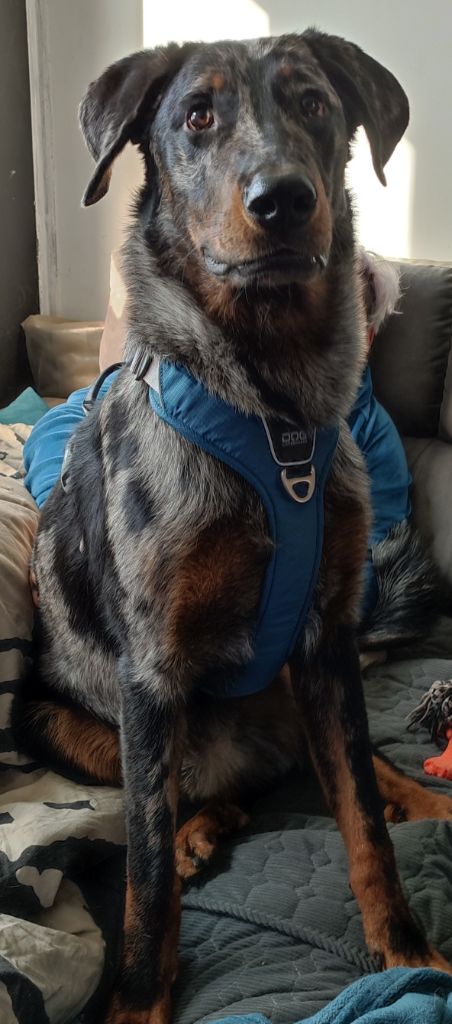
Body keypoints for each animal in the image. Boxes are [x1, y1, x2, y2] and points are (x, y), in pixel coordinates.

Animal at [16, 30, 452, 1024]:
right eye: (196, 116)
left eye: (316, 104)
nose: (283, 199)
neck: (272, 404)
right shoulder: (150, 673)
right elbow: (141, 876)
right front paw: (139, 1000)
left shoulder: (326, 639)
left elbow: (363, 820)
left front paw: (411, 954)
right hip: (59, 718)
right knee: (170, 807)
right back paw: (198, 832)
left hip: (300, 683)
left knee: (344, 771)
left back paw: (415, 796)